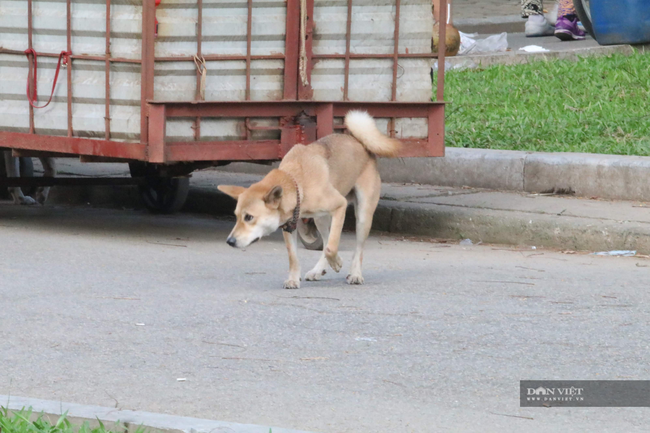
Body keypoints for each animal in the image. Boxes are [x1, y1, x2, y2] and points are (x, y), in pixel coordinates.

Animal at [219, 109, 400, 288]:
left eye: (249, 217)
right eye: (237, 217)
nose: (229, 241)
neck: (296, 183)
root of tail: (358, 140)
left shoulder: (339, 206)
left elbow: (331, 247)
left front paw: (337, 262)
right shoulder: (288, 226)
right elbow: (294, 256)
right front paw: (293, 279)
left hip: (362, 216)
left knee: (356, 248)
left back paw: (355, 273)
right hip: (321, 219)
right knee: (326, 240)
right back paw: (318, 270)